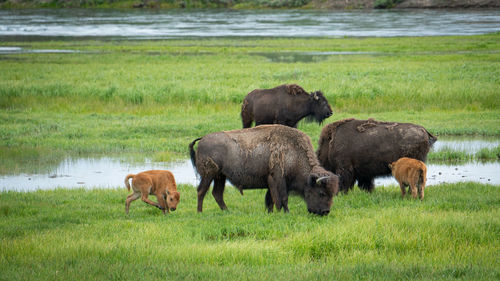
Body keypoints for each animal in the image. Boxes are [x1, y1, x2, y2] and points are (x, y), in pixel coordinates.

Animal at [188, 123, 340, 214]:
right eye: (321, 193)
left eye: (332, 194)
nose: (325, 212)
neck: (294, 153)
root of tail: (202, 139)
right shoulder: (278, 179)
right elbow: (282, 198)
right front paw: (285, 212)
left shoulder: (270, 181)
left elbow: (270, 199)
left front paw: (271, 212)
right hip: (209, 175)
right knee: (201, 191)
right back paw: (200, 212)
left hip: (220, 177)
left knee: (217, 193)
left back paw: (227, 211)